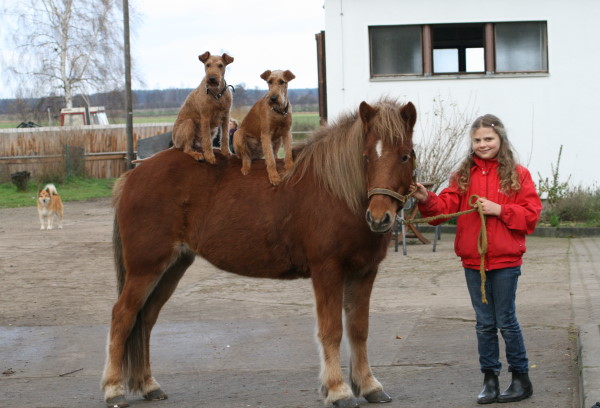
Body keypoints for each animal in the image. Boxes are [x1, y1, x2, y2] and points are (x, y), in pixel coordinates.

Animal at [101, 99, 414, 408]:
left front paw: (369, 385)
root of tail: (134, 173)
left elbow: (359, 329)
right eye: (366, 156)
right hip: (146, 268)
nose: (379, 218)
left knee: (146, 318)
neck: (336, 191)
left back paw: (148, 385)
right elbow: (332, 330)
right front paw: (338, 390)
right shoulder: (328, 272)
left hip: (173, 266)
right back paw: (114, 390)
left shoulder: (364, 272)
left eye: (405, 156)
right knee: (123, 316)